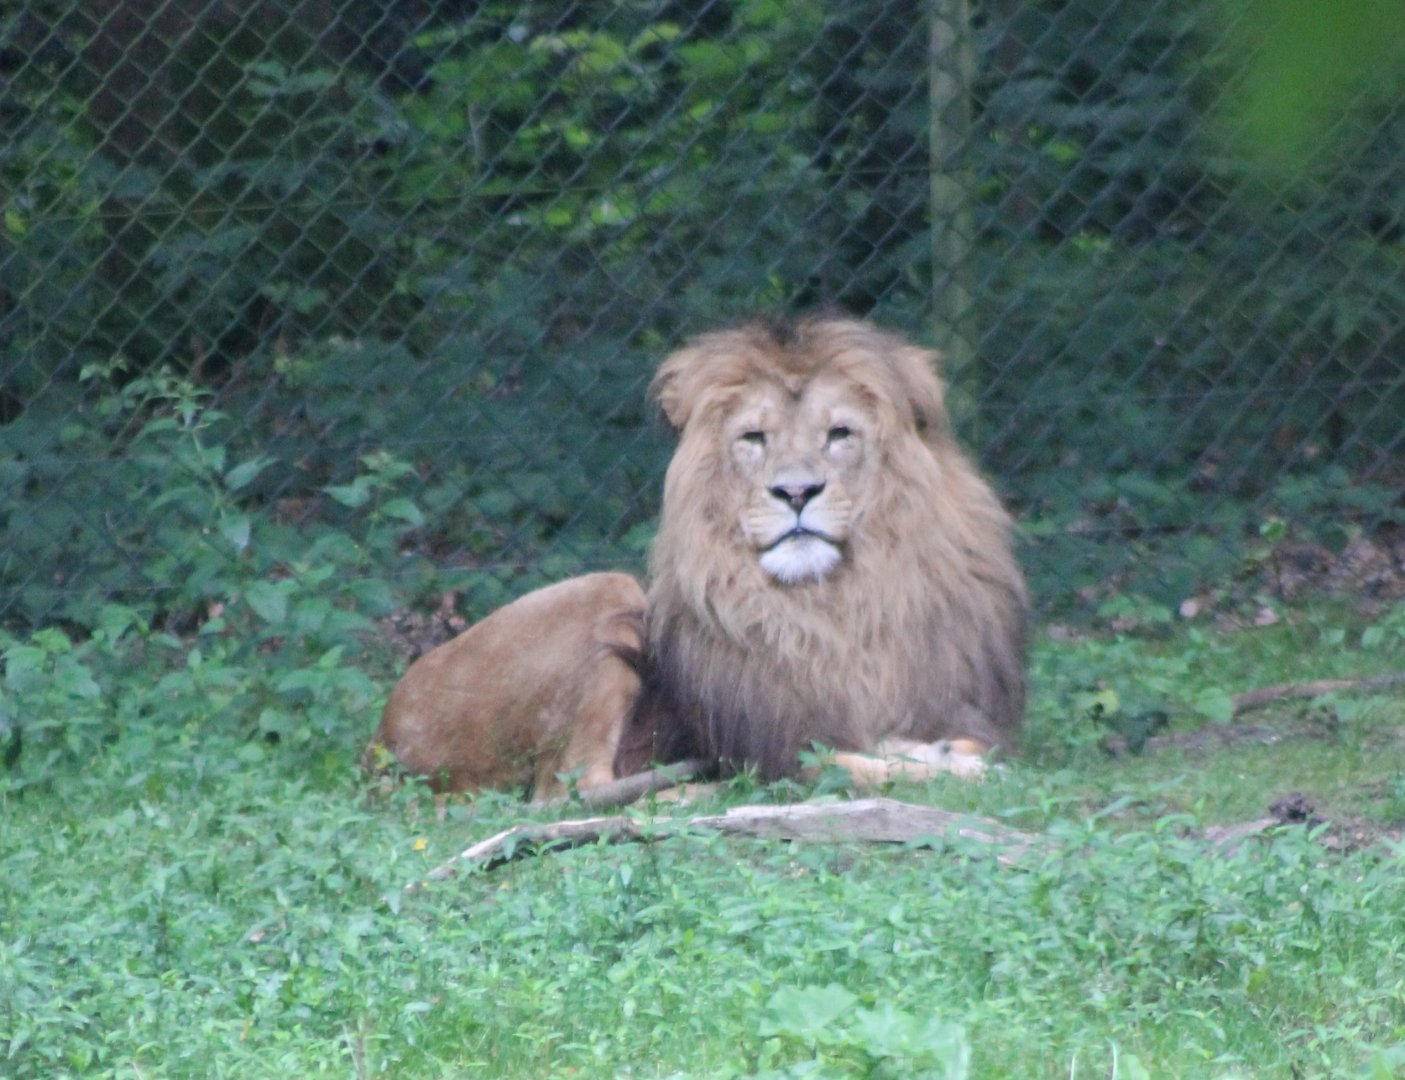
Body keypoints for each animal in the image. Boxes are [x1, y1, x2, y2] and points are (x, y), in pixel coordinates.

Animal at [366, 316, 1027, 799]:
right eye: (753, 438)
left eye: (839, 434)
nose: (796, 492)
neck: (830, 610)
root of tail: (380, 738)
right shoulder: (770, 744)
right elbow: (835, 765)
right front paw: (956, 769)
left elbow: (945, 743)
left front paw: (946, 752)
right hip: (608, 591)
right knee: (570, 792)